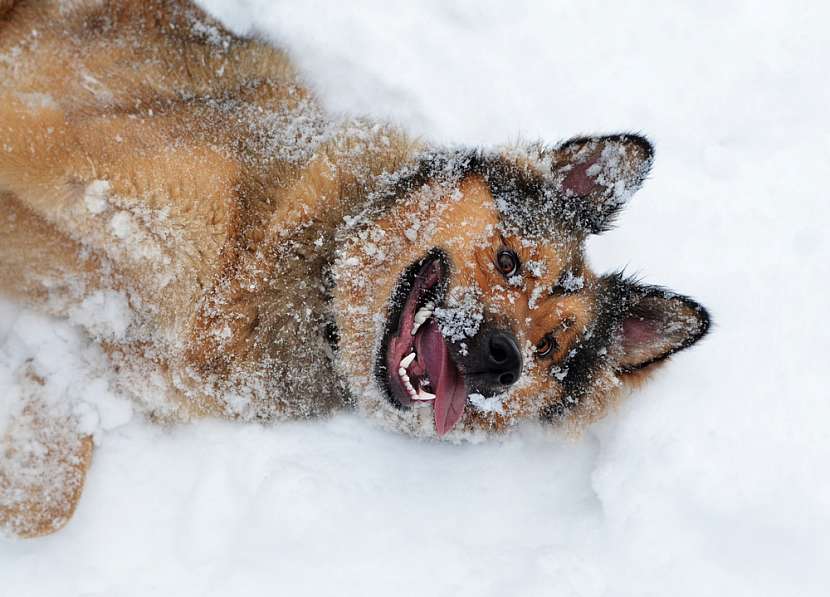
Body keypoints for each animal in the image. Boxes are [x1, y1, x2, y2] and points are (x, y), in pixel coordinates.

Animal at [1, 0, 708, 536]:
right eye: (510, 260)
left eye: (551, 346)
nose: (503, 359)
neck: (318, 273)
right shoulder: (45, 141)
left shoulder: (101, 346)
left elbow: (44, 500)